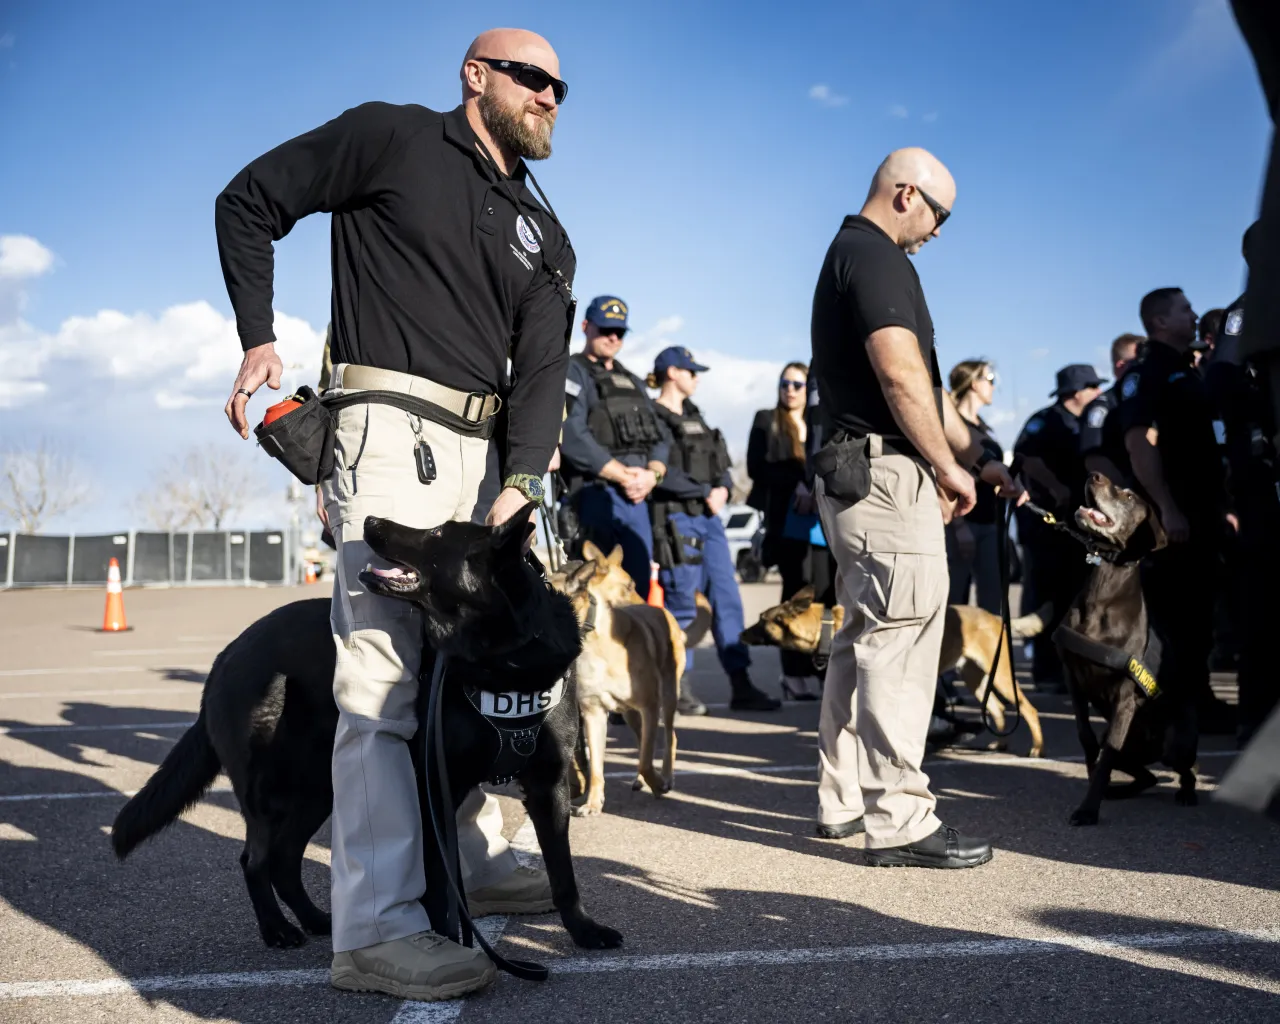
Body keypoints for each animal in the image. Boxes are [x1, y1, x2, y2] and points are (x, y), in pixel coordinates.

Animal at [112, 504, 622, 952]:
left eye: (438, 533)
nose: (371, 521)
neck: (503, 657)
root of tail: (227, 653)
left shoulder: (549, 787)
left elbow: (564, 873)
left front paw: (584, 930)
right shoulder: (436, 788)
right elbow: (441, 884)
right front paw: (450, 943)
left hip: (318, 789)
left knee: (284, 860)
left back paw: (317, 920)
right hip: (270, 792)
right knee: (255, 860)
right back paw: (277, 929)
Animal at [552, 542, 686, 814]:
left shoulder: (649, 706)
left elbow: (645, 760)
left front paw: (658, 783)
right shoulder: (593, 714)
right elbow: (596, 767)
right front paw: (593, 803)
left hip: (667, 698)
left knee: (668, 737)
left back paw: (665, 777)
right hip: (630, 714)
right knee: (642, 740)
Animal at [747, 583, 1044, 757]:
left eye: (761, 620)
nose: (740, 635)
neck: (827, 627)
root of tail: (995, 617)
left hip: (1001, 675)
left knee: (1028, 709)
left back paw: (1036, 749)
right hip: (976, 677)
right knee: (997, 708)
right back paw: (1000, 745)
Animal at [1049, 473, 1198, 824]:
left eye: (1130, 497)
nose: (1094, 475)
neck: (1104, 588)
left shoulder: (1125, 698)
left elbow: (1104, 761)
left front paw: (1088, 810)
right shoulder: (1072, 676)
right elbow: (1087, 738)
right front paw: (1093, 782)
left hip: (1175, 741)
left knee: (1184, 772)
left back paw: (1186, 794)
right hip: (1129, 749)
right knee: (1147, 775)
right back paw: (1120, 791)